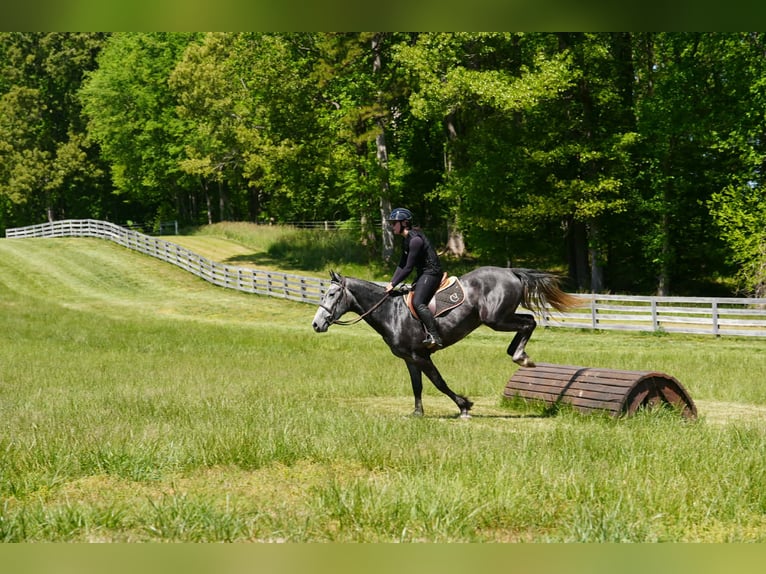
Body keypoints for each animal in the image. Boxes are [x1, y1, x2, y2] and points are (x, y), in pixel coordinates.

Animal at [311, 267, 580, 418]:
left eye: (332, 294)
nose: (316, 324)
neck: (391, 312)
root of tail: (510, 272)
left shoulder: (421, 356)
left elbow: (439, 382)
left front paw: (464, 406)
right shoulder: (410, 359)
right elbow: (417, 386)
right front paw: (417, 413)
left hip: (496, 319)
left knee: (528, 323)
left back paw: (520, 356)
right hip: (500, 318)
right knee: (528, 321)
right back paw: (516, 352)